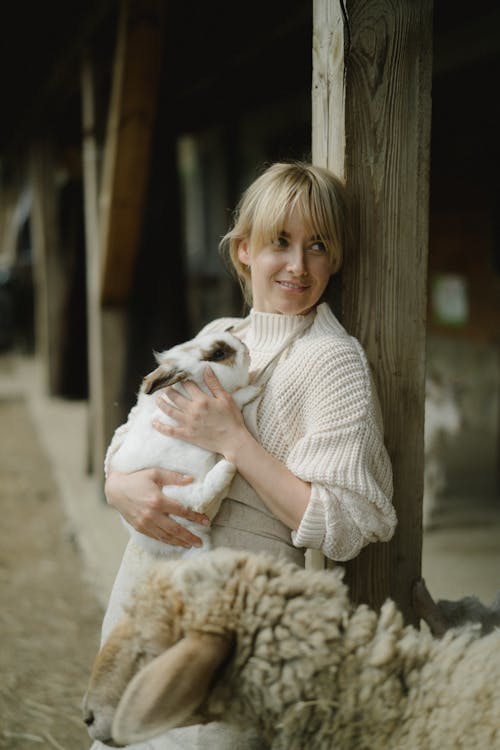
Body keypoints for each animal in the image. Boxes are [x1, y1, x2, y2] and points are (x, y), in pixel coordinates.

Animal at [107, 334, 260, 560]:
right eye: (218, 354)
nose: (246, 349)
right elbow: (233, 399)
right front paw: (254, 389)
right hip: (172, 489)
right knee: (198, 499)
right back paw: (226, 469)